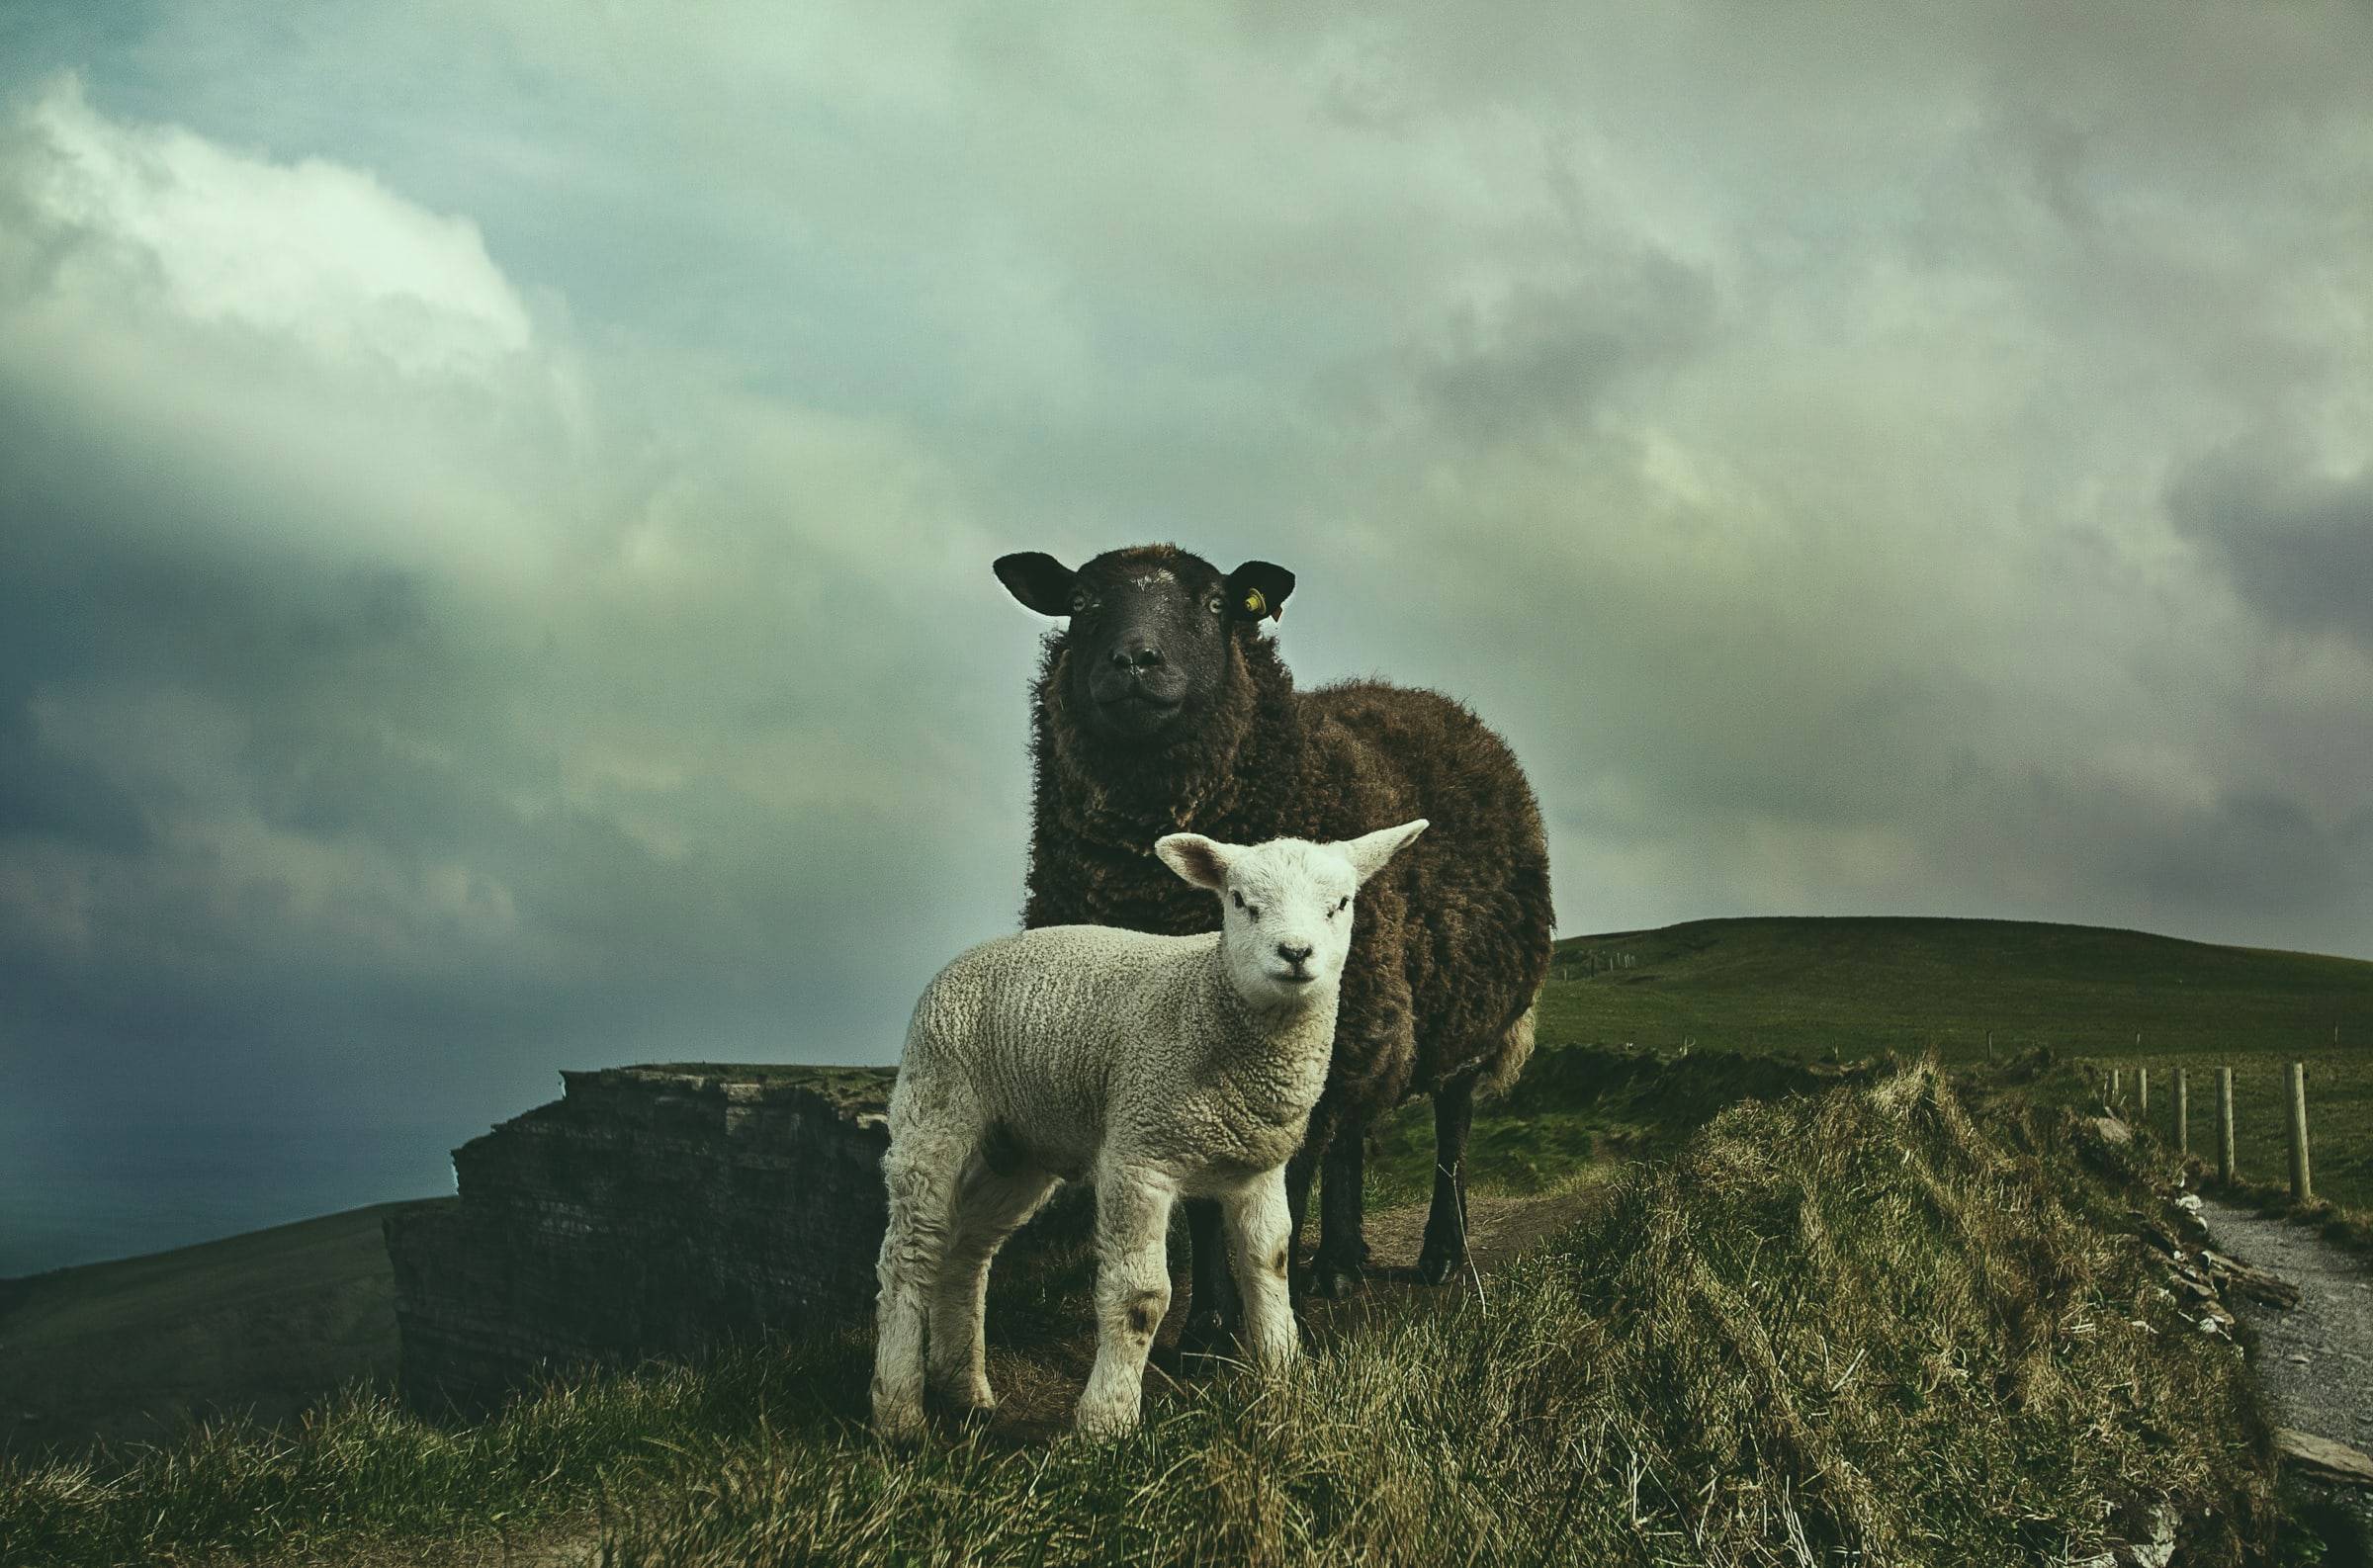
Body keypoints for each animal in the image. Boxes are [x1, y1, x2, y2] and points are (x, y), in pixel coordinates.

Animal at [870, 819, 1430, 1439]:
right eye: (1241, 901)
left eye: (1341, 904)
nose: (1295, 952)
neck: (1208, 1002)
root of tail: (968, 955)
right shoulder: (1139, 1155)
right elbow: (1141, 1295)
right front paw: (1106, 1421)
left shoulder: (1257, 1168)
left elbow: (1271, 1265)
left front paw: (1287, 1380)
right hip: (935, 1104)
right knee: (910, 1254)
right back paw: (898, 1412)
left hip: (1018, 1147)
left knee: (966, 1251)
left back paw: (964, 1390)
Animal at [992, 544, 1554, 1356]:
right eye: (1081, 602)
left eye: (1216, 603)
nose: (1134, 660)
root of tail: (1431, 699)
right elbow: (1205, 1206)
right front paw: (1205, 1329)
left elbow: (1274, 1197)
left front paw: (1257, 1329)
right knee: (1354, 1136)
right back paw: (1341, 1263)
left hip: (1463, 1015)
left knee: (1451, 1129)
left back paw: (1441, 1256)